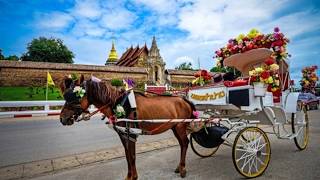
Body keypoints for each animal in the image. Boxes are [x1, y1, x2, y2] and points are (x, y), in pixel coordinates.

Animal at [58, 75, 196, 179]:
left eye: (75, 96)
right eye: (65, 96)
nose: (63, 119)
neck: (118, 103)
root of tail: (184, 100)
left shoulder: (131, 134)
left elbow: (132, 156)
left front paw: (133, 177)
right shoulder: (123, 134)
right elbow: (127, 155)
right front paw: (129, 176)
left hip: (180, 126)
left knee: (185, 143)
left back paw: (183, 168)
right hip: (175, 127)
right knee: (182, 144)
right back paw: (179, 166)